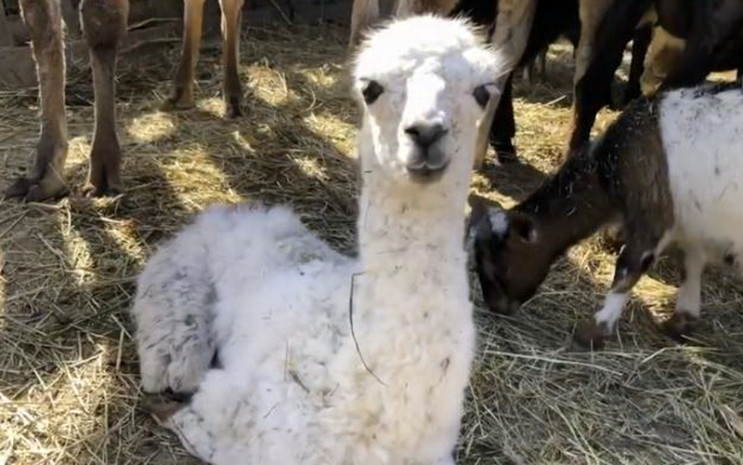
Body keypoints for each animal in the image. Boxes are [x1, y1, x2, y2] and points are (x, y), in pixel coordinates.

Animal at [470, 82, 743, 348]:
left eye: (497, 266)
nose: (496, 307)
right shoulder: (691, 227)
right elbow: (689, 267)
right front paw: (681, 322)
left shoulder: (652, 216)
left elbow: (627, 270)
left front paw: (594, 330)